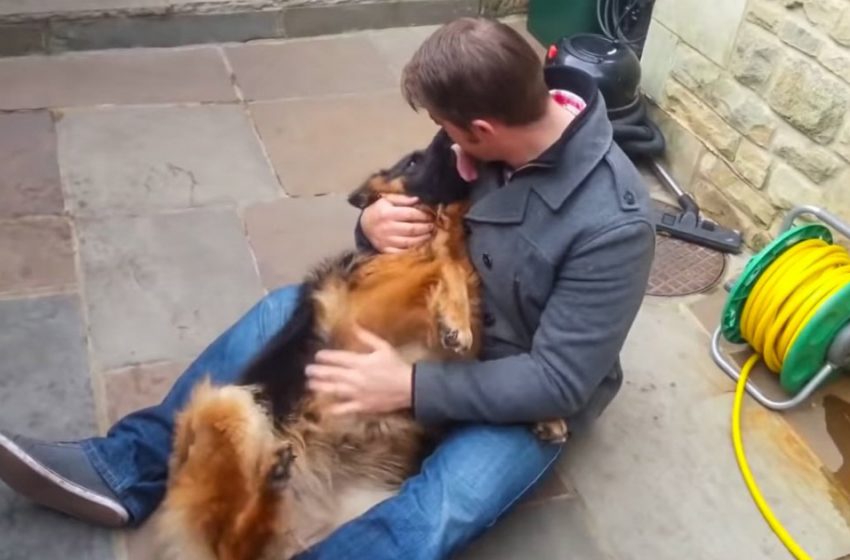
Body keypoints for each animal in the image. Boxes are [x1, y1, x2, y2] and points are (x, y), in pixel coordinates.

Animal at [156, 128, 568, 560]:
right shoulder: (377, 307)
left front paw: (543, 413)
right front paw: (454, 314)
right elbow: (447, 264)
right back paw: (271, 478)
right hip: (226, 402)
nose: (444, 132)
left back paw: (274, 485)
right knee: (229, 547)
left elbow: (486, 373)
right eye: (412, 162)